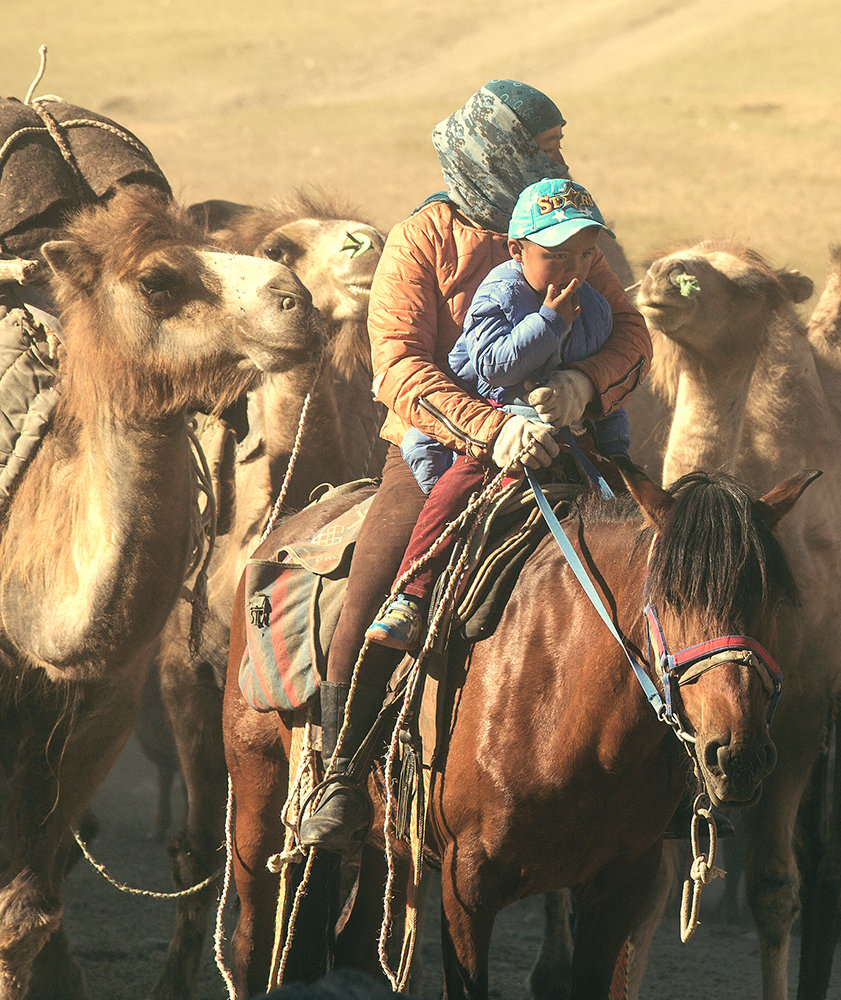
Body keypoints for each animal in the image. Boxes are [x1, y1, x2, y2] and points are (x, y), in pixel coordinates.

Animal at [220, 460, 816, 1000]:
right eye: (670, 597)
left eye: (768, 600)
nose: (737, 755)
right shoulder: (467, 883)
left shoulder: (621, 885)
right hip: (256, 789)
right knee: (252, 946)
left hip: (386, 839)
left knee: (355, 950)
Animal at [632, 238, 840, 996]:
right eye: (670, 257)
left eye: (748, 284)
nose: (663, 280)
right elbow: (652, 885)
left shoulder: (800, 717)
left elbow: (776, 888)